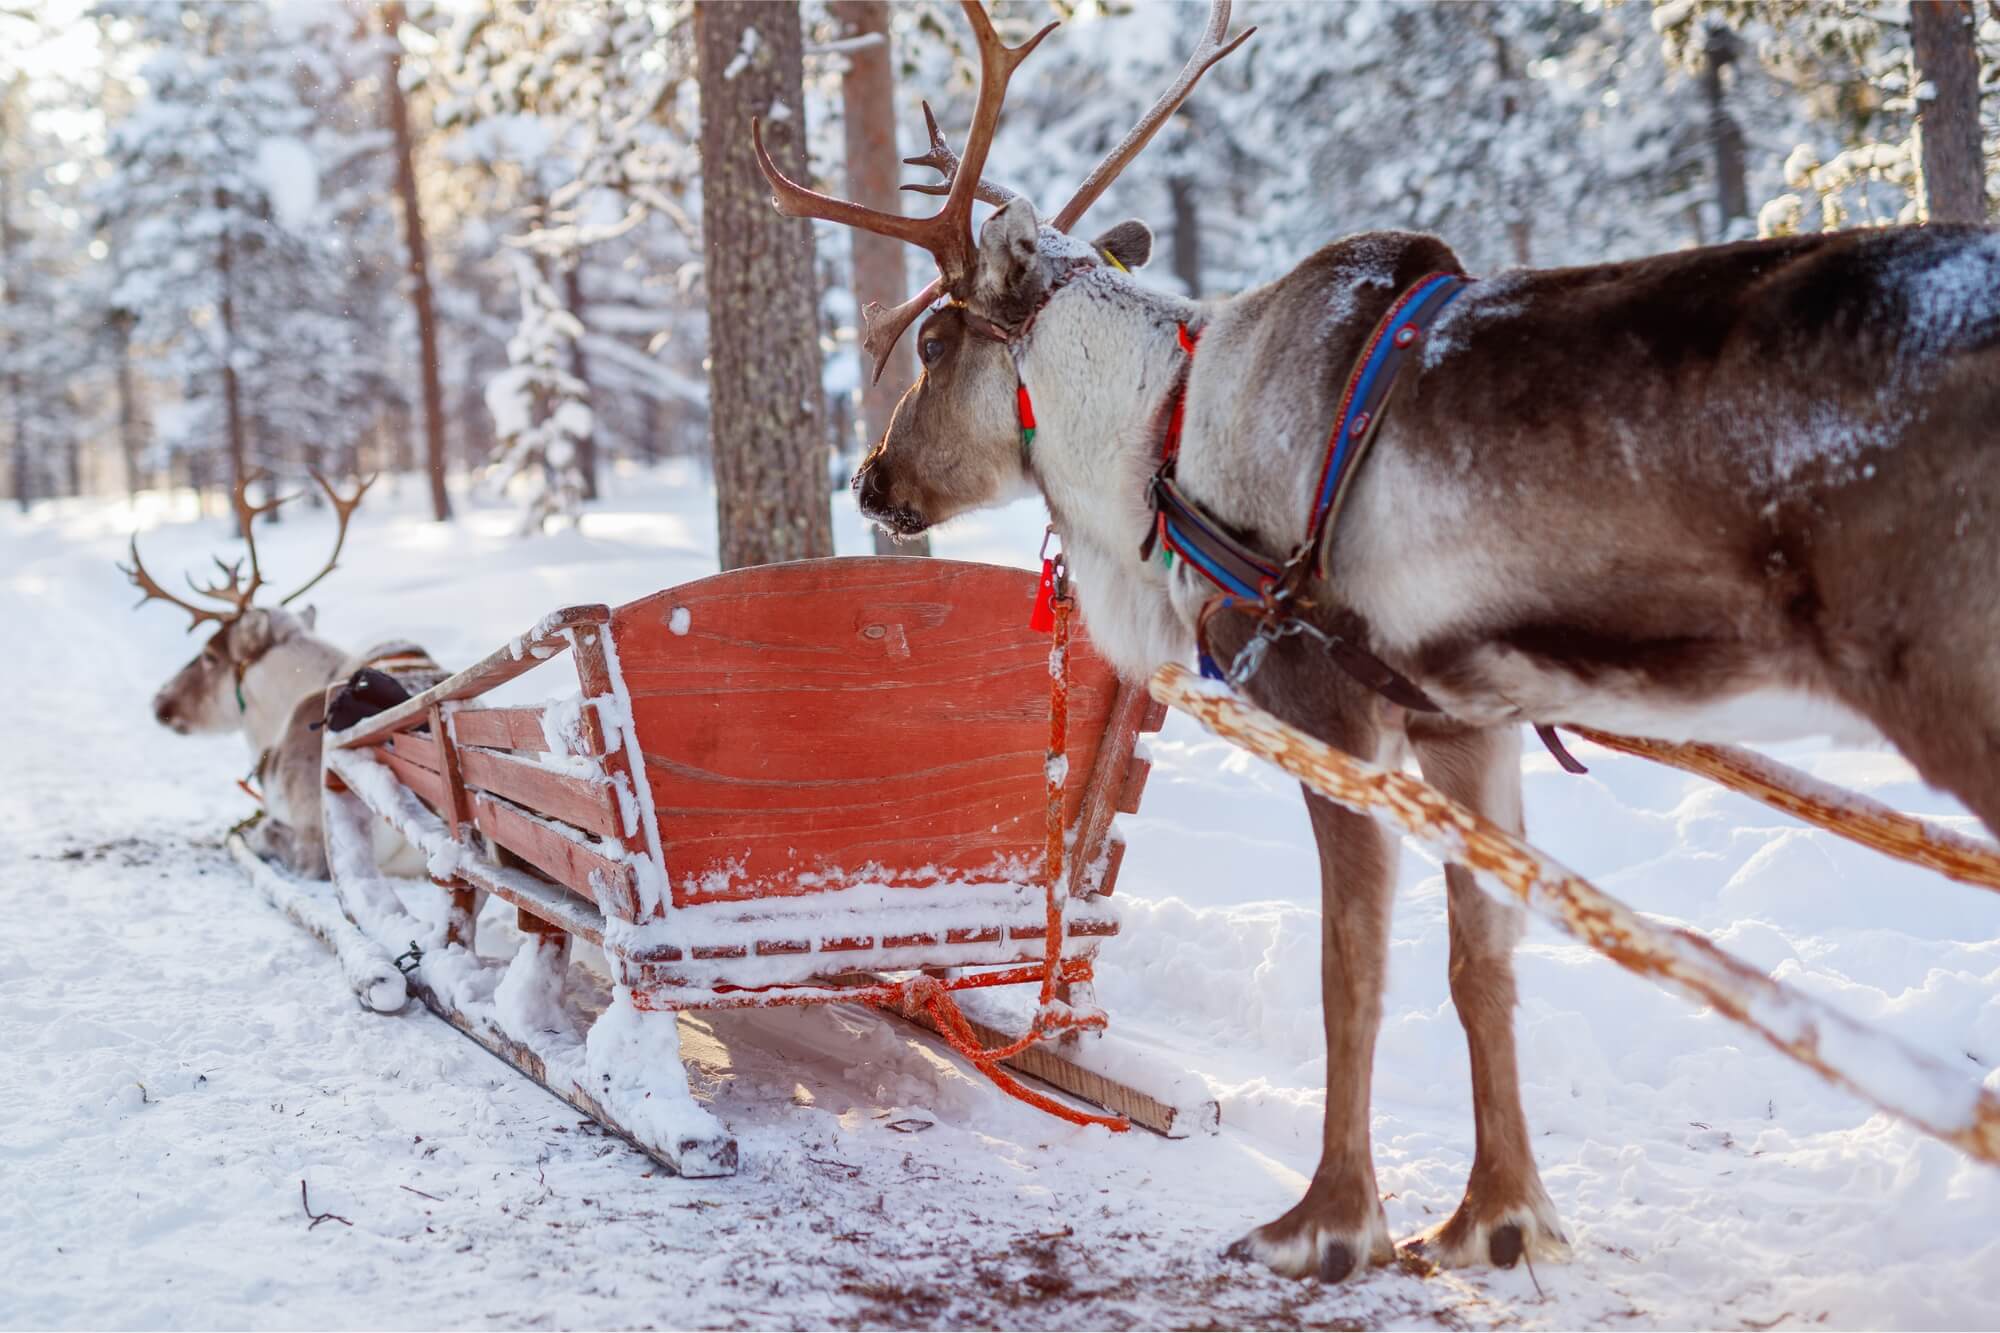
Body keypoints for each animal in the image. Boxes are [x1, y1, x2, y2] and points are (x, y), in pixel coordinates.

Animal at [751, 0, 2000, 1286]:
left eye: (934, 346)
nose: (871, 478)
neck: (1159, 444)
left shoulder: (1329, 711)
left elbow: (1350, 965)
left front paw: (1327, 1219)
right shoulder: (1463, 723)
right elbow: (1478, 956)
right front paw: (1495, 1214)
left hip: (1952, 685)